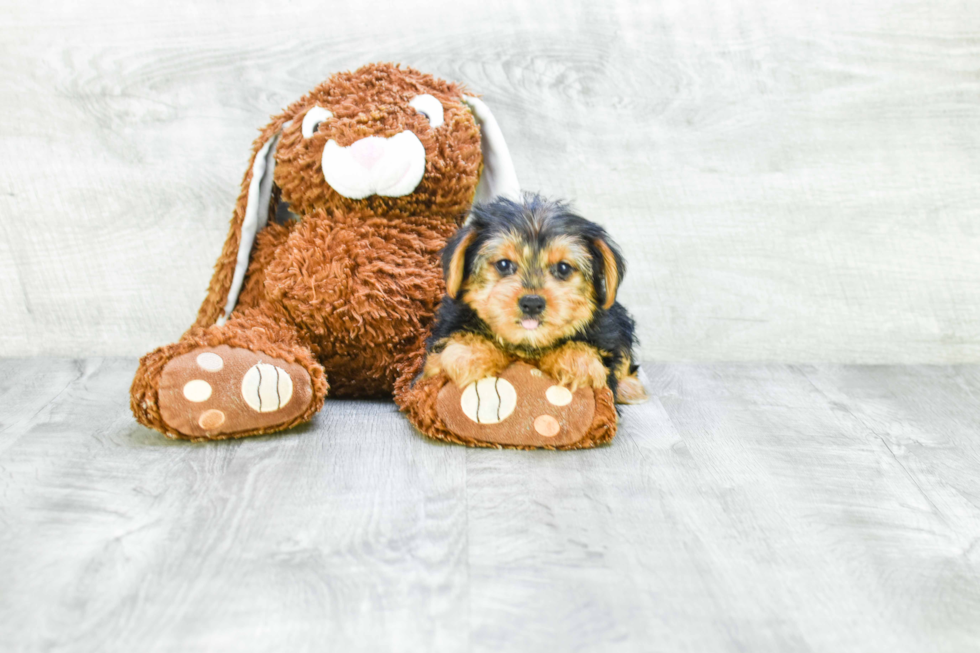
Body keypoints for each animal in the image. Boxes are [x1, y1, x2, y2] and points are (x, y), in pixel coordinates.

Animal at [424, 194, 648, 402]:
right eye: (503, 264)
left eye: (563, 268)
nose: (532, 303)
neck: (528, 346)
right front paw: (468, 352)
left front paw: (579, 361)